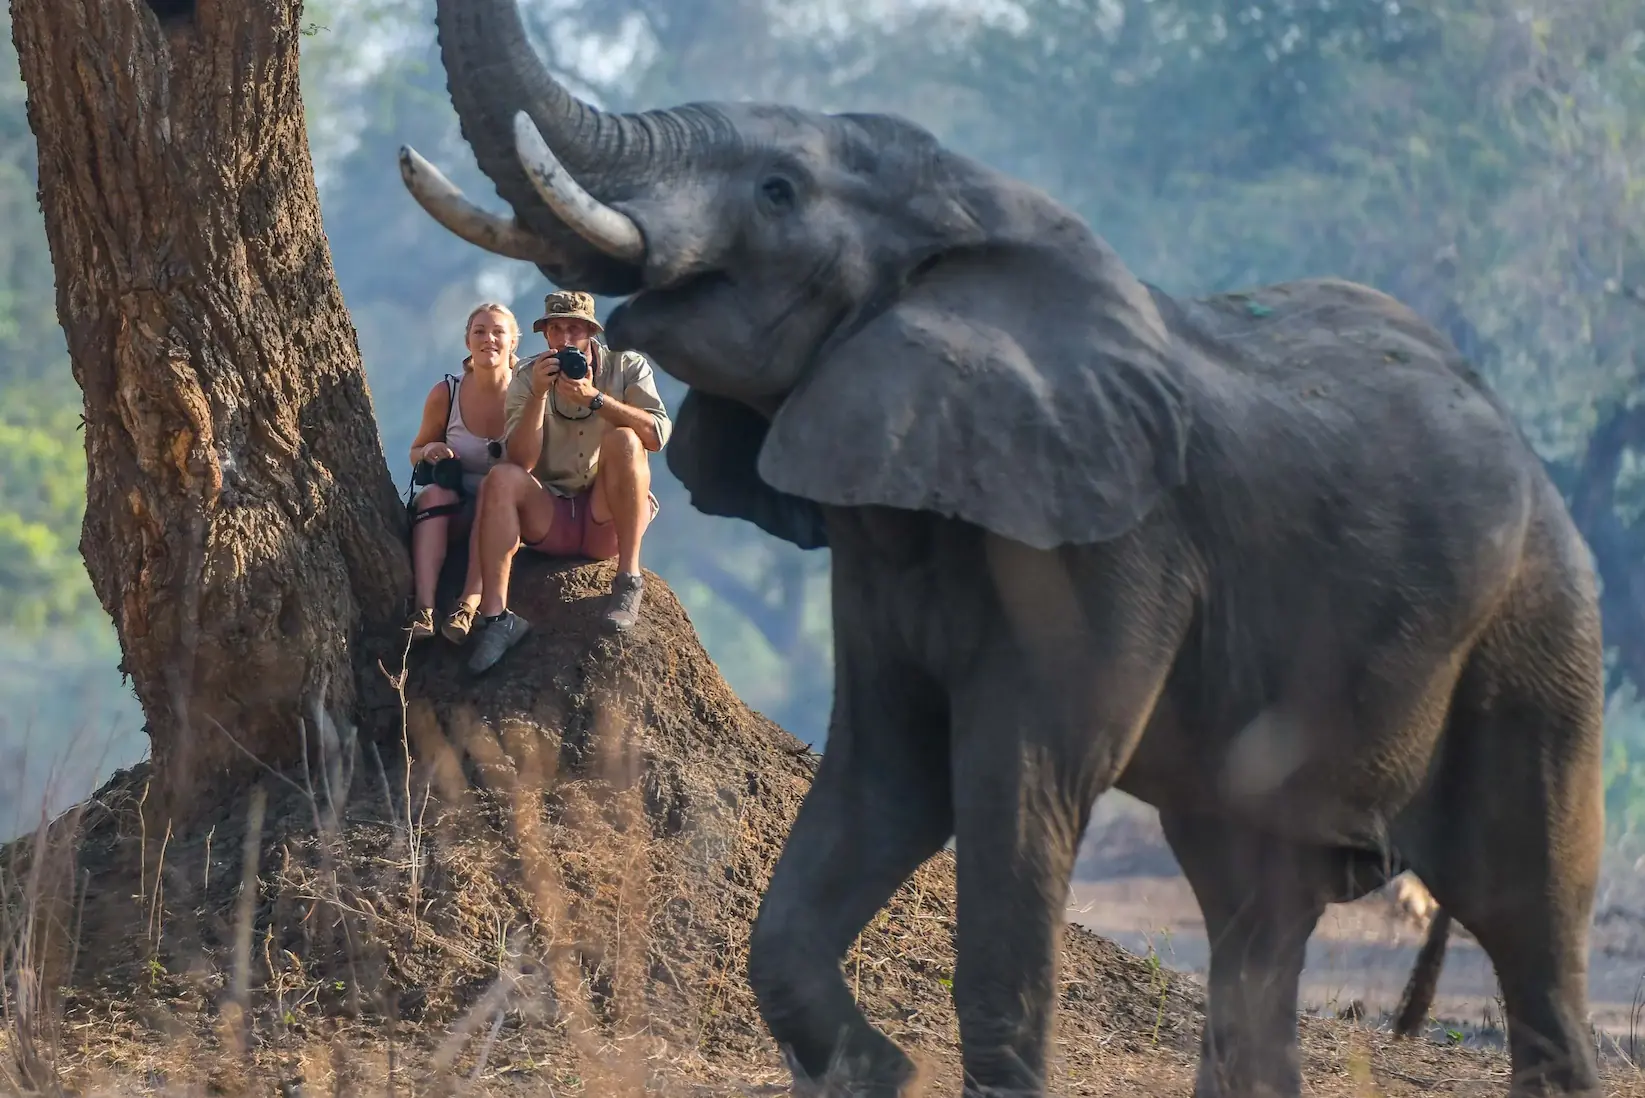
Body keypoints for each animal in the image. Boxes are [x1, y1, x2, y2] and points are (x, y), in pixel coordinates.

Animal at [400, 3, 1607, 1095]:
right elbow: (884, 775)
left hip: (1538, 623)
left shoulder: (1112, 547)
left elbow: (1015, 784)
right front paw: (879, 1074)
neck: (972, 224)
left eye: (778, 192)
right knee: (1253, 910)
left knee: (1527, 910)